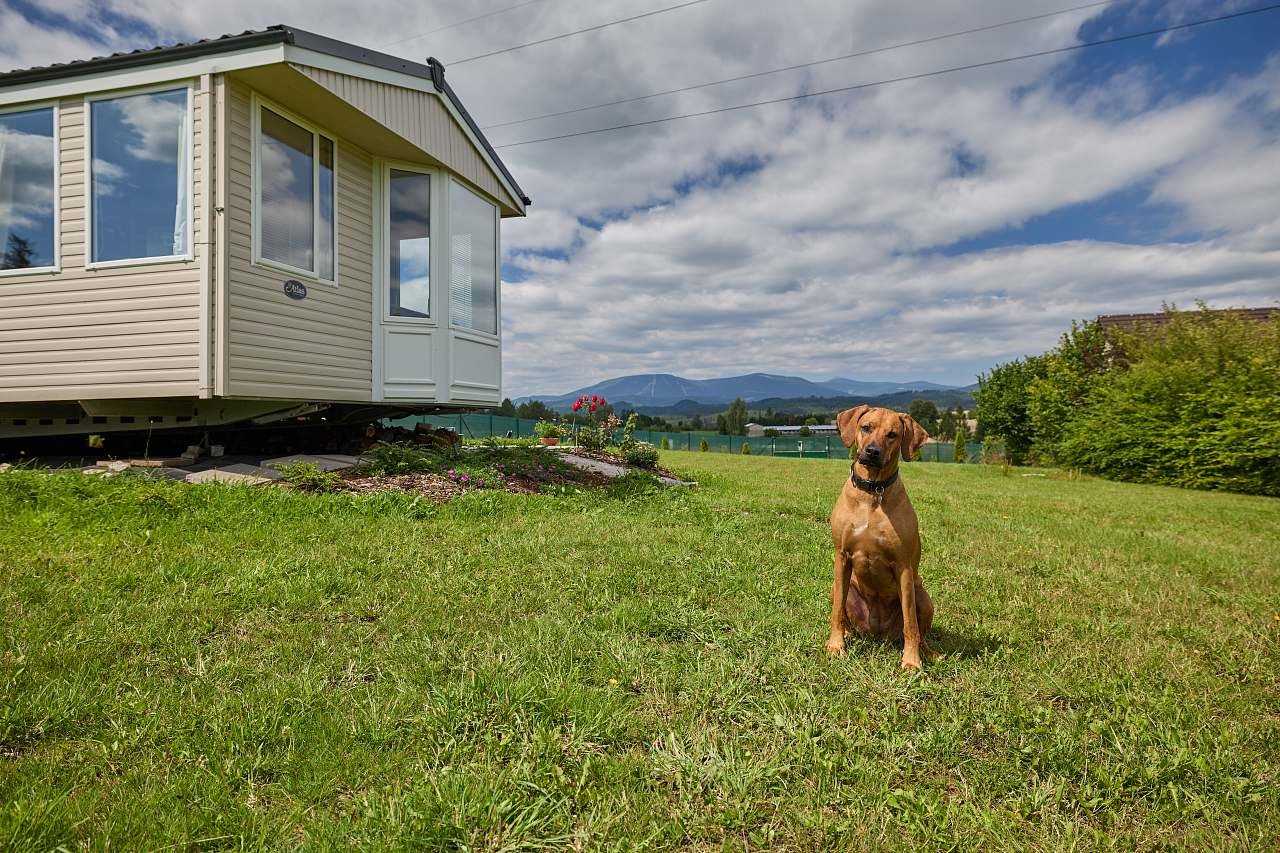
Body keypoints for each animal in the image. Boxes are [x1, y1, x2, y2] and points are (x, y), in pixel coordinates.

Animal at [824, 402, 936, 666]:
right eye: (866, 427)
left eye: (892, 434)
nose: (872, 451)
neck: (872, 493)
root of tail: (877, 634)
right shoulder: (841, 556)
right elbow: (837, 611)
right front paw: (836, 645)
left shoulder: (904, 566)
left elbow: (911, 623)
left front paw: (911, 661)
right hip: (838, 588)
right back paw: (845, 634)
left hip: (923, 595)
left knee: (920, 629)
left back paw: (928, 652)